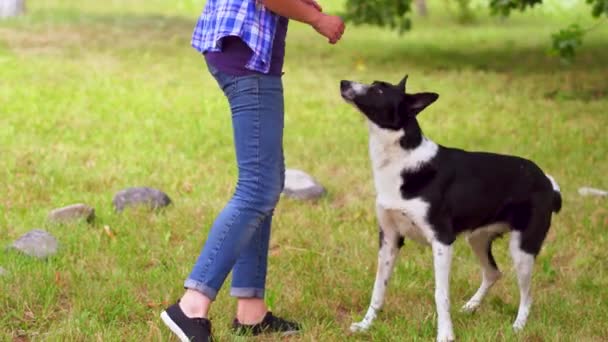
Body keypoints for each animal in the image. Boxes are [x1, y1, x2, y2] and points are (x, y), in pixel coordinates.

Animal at [340, 76, 564, 340]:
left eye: (378, 90)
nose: (343, 82)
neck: (403, 160)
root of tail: (547, 182)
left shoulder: (442, 241)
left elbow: (441, 295)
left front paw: (445, 334)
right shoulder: (389, 239)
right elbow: (378, 289)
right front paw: (366, 325)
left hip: (523, 250)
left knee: (527, 295)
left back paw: (518, 326)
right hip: (478, 239)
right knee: (493, 272)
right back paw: (471, 306)